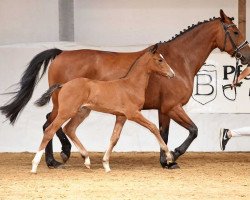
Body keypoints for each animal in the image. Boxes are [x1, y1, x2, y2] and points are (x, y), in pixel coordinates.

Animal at [31, 45, 174, 173]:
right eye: (160, 60)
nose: (172, 74)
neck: (131, 85)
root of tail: (63, 85)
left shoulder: (121, 116)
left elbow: (114, 138)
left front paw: (106, 164)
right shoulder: (133, 114)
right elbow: (153, 127)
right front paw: (169, 157)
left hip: (82, 112)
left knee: (69, 128)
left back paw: (86, 159)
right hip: (66, 112)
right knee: (49, 130)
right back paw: (35, 166)